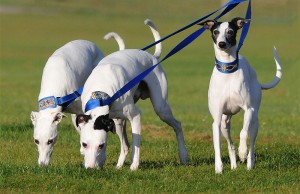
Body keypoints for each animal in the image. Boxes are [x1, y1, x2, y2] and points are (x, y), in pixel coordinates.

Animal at [75, 18, 188, 170]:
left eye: (101, 146)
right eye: (84, 144)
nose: (91, 168)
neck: (100, 95)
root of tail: (152, 56)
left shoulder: (135, 116)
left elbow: (136, 144)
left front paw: (134, 166)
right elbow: (127, 145)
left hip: (161, 108)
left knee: (177, 125)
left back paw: (183, 155)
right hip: (118, 122)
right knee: (125, 145)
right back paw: (119, 165)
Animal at [199, 17, 282, 174]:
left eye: (230, 31)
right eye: (215, 31)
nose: (221, 44)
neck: (228, 71)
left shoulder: (248, 110)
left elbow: (243, 133)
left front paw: (242, 152)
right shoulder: (217, 119)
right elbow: (217, 146)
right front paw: (218, 168)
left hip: (255, 121)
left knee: (252, 143)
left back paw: (249, 163)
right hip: (225, 123)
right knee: (230, 144)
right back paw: (233, 165)